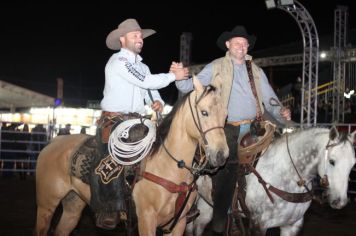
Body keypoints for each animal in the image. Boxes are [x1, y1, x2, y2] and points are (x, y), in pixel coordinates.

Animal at [34, 76, 228, 235]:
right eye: (204, 112)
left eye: (225, 116)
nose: (221, 155)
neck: (168, 166)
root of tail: (53, 142)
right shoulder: (146, 219)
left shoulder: (178, 224)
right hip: (46, 205)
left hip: (73, 204)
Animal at [186, 127, 356, 236]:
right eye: (332, 161)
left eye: (353, 164)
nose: (340, 202)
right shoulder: (258, 224)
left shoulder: (292, 225)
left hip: (206, 206)